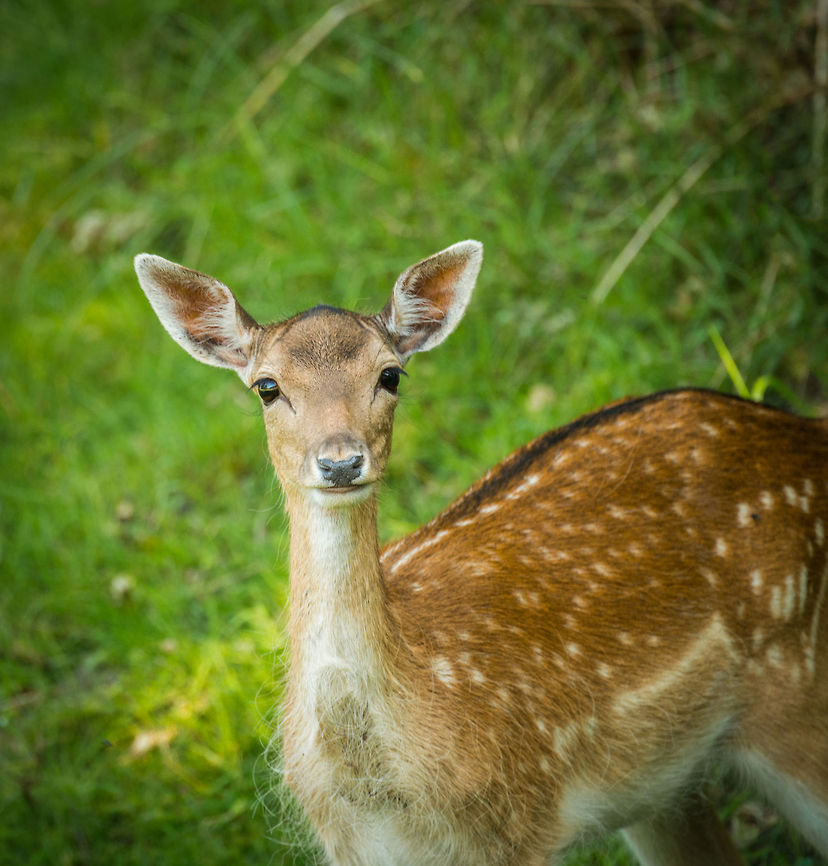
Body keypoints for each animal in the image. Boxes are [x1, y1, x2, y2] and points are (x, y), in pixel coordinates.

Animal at [134, 240, 828, 865]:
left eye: (390, 374)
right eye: (266, 386)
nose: (340, 461)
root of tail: (806, 430)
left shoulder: (515, 826)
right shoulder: (351, 848)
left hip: (800, 699)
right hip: (665, 789)